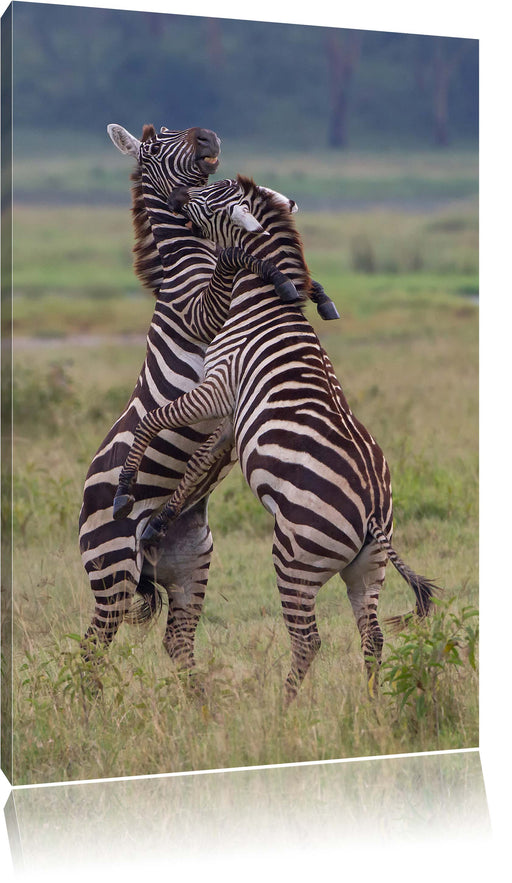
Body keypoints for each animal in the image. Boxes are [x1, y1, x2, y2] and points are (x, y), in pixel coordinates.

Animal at [79, 124, 308, 672]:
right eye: (156, 146)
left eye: (173, 129)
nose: (207, 136)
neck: (189, 263)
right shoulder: (201, 315)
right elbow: (237, 258)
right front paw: (278, 273)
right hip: (111, 569)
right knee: (94, 646)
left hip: (190, 564)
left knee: (177, 642)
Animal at [114, 176, 438, 708]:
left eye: (209, 197)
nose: (178, 198)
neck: (261, 300)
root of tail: (374, 510)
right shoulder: (229, 412)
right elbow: (197, 467)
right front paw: (158, 523)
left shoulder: (217, 387)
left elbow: (154, 422)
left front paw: (124, 488)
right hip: (366, 570)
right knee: (371, 636)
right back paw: (372, 709)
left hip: (295, 560)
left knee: (308, 640)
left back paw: (282, 710)